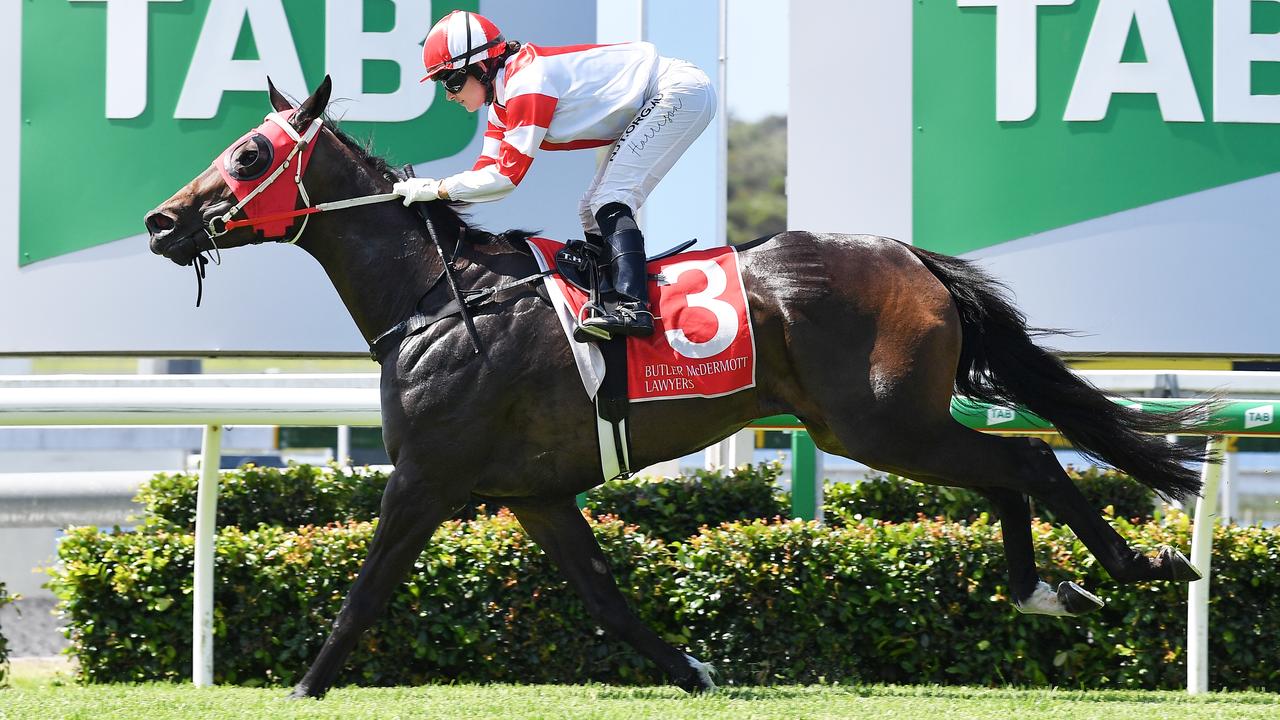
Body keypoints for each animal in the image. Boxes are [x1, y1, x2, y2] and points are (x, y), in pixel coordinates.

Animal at [145, 77, 1203, 696]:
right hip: (885, 426)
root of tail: (911, 257)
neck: (441, 298)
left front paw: (300, 689)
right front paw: (696, 670)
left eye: (248, 154)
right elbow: (607, 599)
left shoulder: (427, 477)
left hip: (877, 425)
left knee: (1027, 463)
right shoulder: (532, 492)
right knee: (1007, 477)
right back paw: (1048, 590)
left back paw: (1132, 567)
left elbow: (364, 594)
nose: (160, 221)